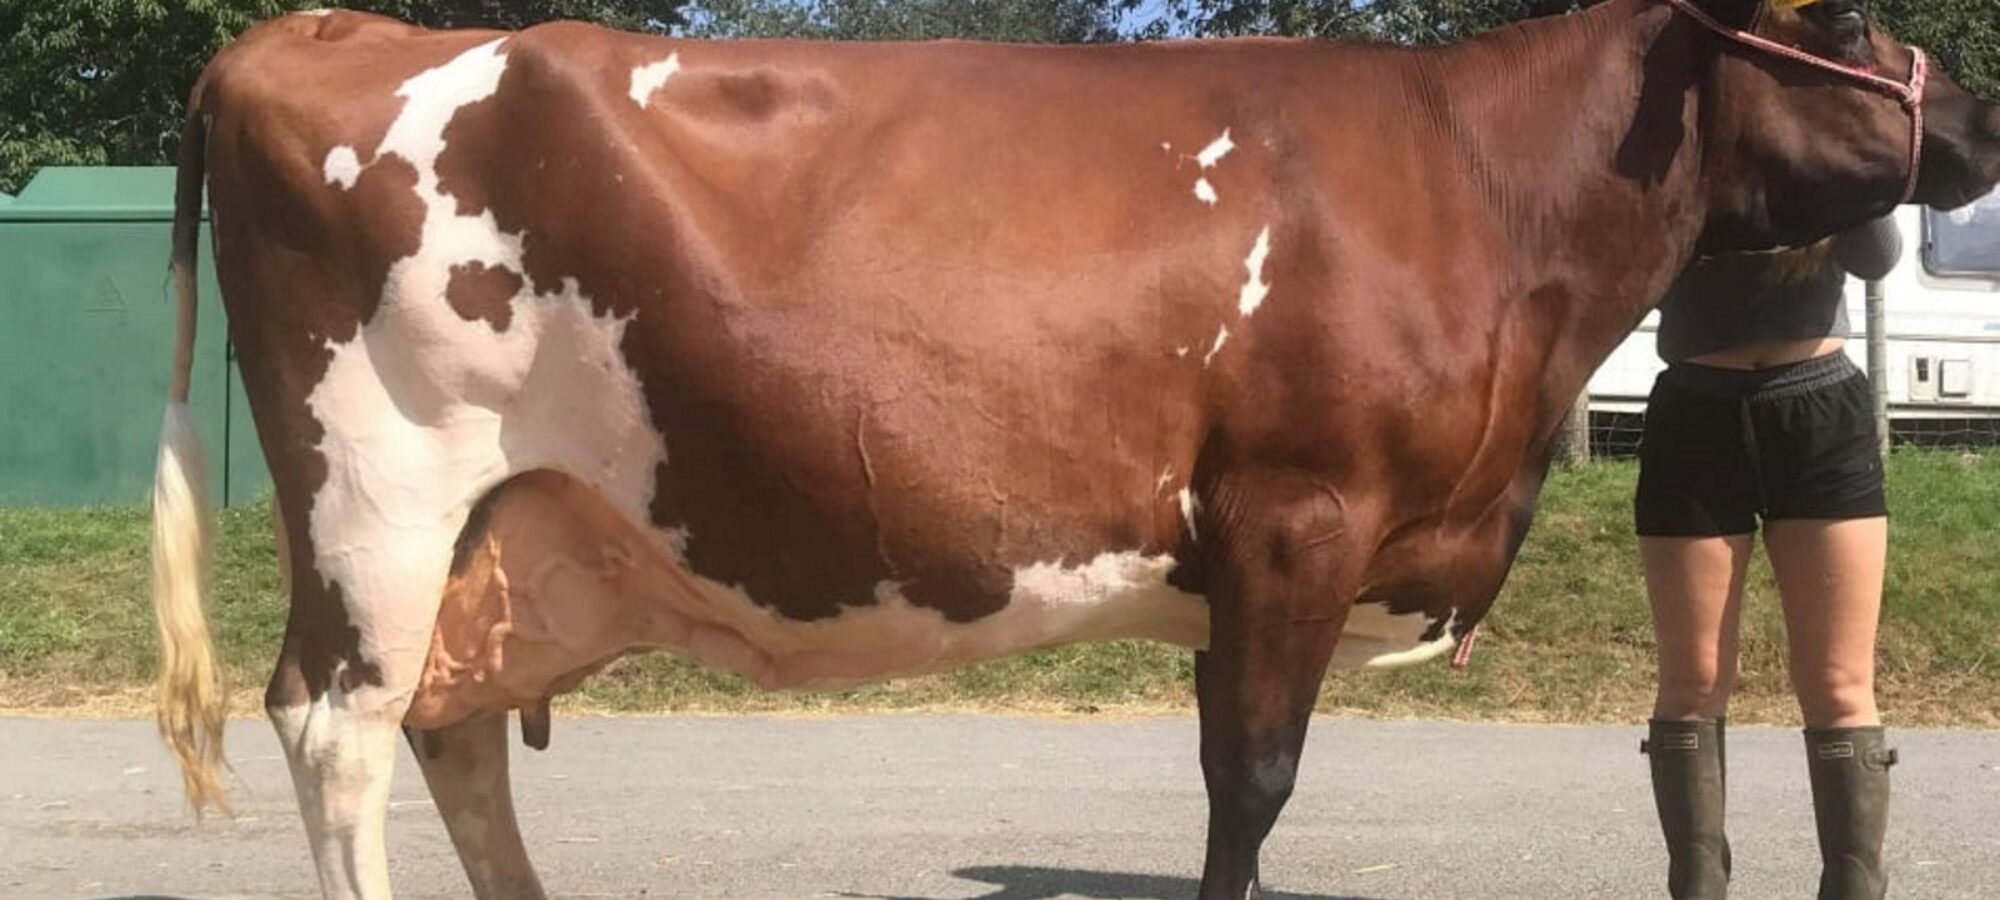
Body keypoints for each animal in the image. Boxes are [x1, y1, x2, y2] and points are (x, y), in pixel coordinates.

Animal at [146, 0, 2000, 897]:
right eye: (1840, 25)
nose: (1979, 122)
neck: (1477, 181)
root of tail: (318, 29)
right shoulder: (1295, 516)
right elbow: (1251, 791)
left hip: (506, 529)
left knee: (451, 730)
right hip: (378, 485)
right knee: (340, 731)